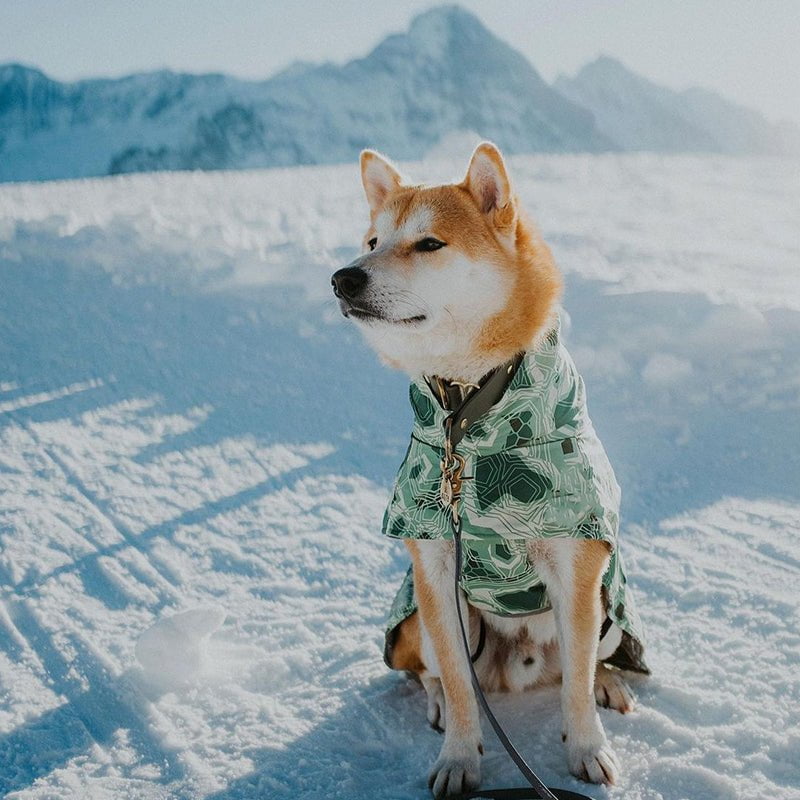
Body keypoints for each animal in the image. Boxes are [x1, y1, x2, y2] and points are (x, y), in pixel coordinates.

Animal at [332, 144, 648, 800]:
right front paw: (459, 757)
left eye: (429, 243)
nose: (343, 277)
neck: (467, 408)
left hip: (609, 605)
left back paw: (609, 681)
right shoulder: (434, 570)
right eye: (372, 241)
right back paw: (436, 706)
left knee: (583, 665)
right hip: (427, 622)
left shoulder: (576, 568)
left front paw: (587, 748)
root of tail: (518, 667)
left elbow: (576, 687)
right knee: (434, 673)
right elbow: (457, 683)